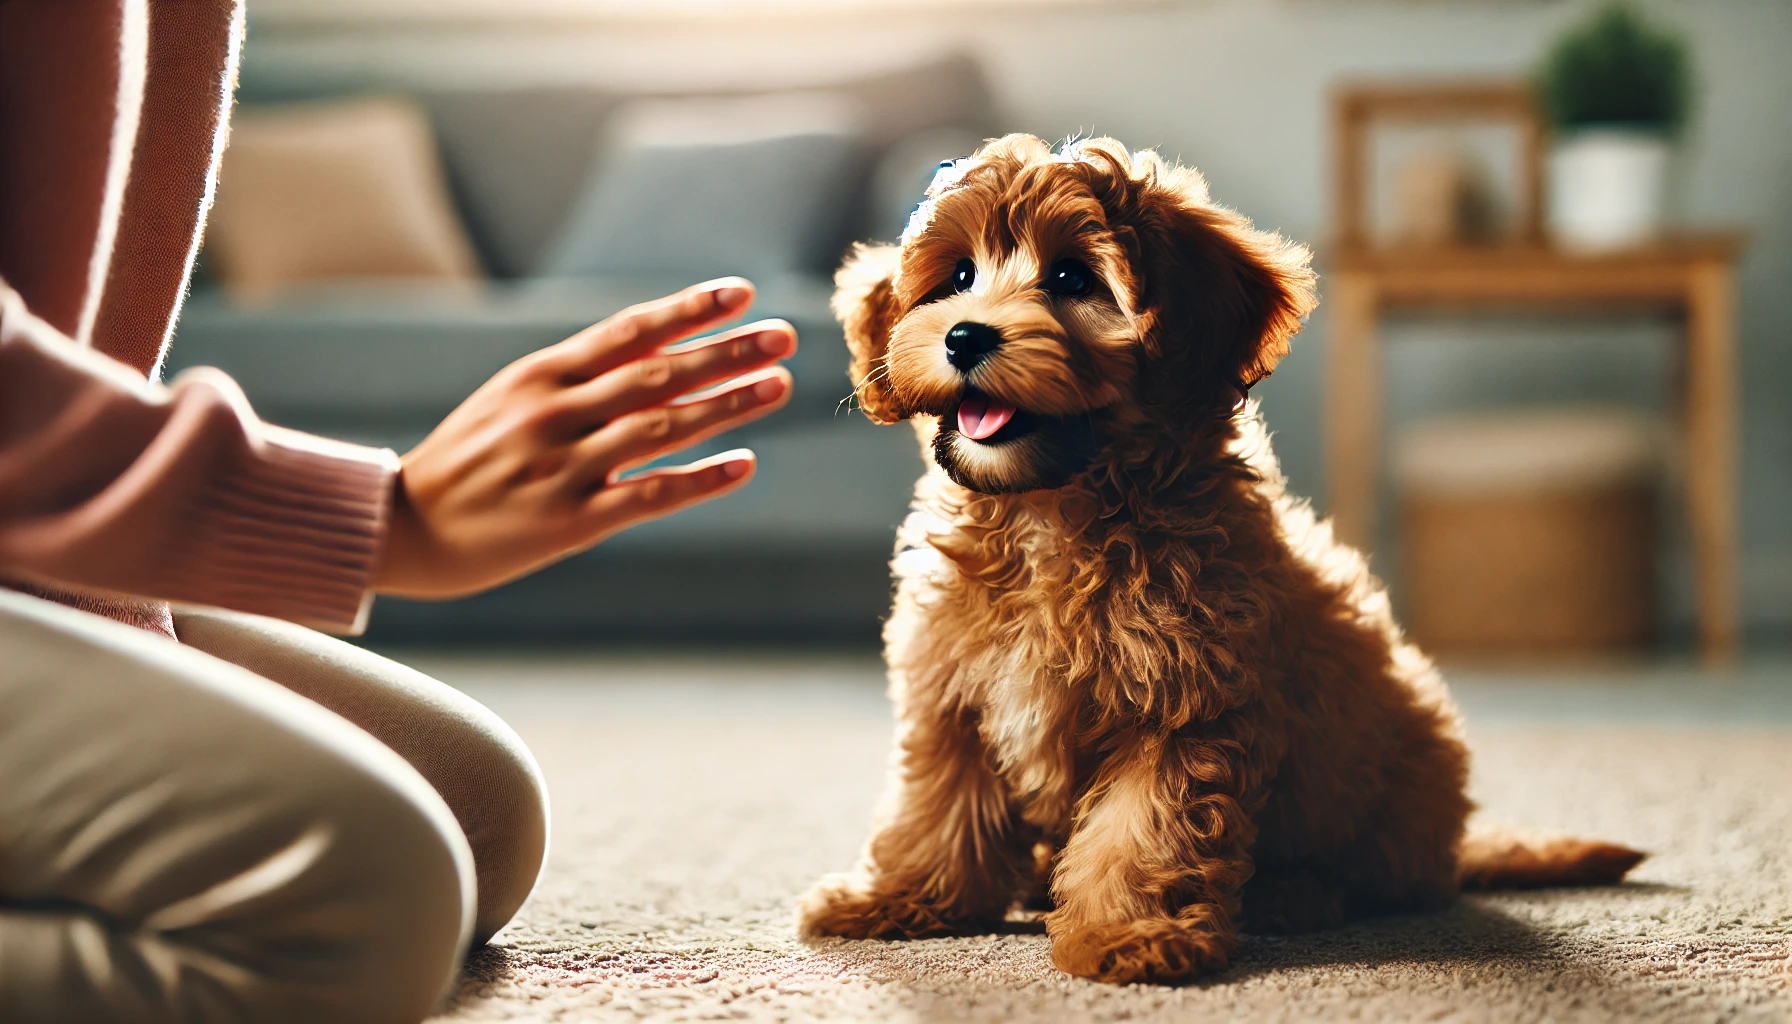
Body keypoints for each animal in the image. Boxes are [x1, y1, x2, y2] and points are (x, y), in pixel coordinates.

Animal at [806, 134, 1641, 982]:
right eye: (957, 277)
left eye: (1073, 278)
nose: (965, 335)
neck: (1053, 511)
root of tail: (1452, 849)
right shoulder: (954, 693)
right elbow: (937, 805)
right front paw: (905, 897)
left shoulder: (1184, 701)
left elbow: (1144, 827)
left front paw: (1126, 934)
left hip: (1393, 777)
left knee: (1373, 877)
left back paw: (1291, 895)